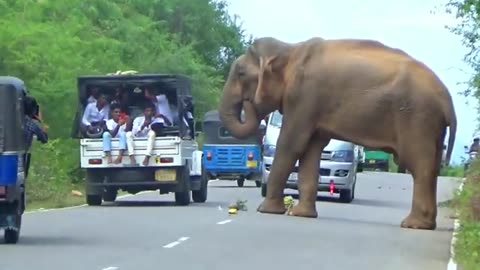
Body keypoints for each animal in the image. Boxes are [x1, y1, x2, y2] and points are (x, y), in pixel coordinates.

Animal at [218, 35, 458, 230]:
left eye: (241, 73)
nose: (248, 103)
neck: (290, 49)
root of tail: (447, 99)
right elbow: (311, 150)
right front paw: (301, 214)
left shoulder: (303, 97)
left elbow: (292, 144)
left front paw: (266, 210)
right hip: (431, 125)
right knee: (431, 166)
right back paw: (425, 224)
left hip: (417, 118)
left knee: (419, 165)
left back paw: (413, 225)